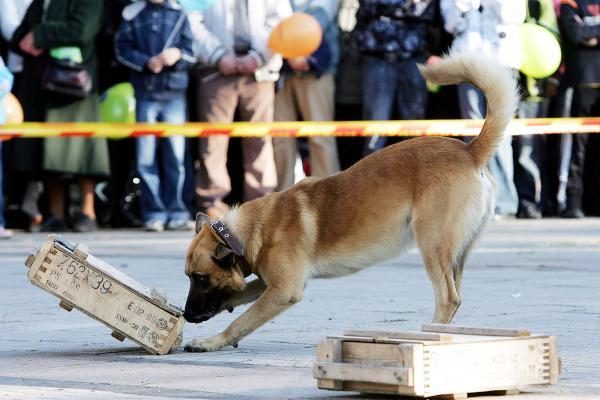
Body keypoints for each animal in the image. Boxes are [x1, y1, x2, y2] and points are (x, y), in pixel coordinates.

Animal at [180, 50, 516, 354]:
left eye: (200, 278)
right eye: (188, 278)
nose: (187, 315)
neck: (252, 230)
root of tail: (469, 151)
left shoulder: (284, 290)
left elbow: (241, 321)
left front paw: (211, 341)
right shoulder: (268, 284)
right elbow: (239, 297)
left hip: (432, 244)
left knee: (448, 298)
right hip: (455, 254)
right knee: (456, 297)